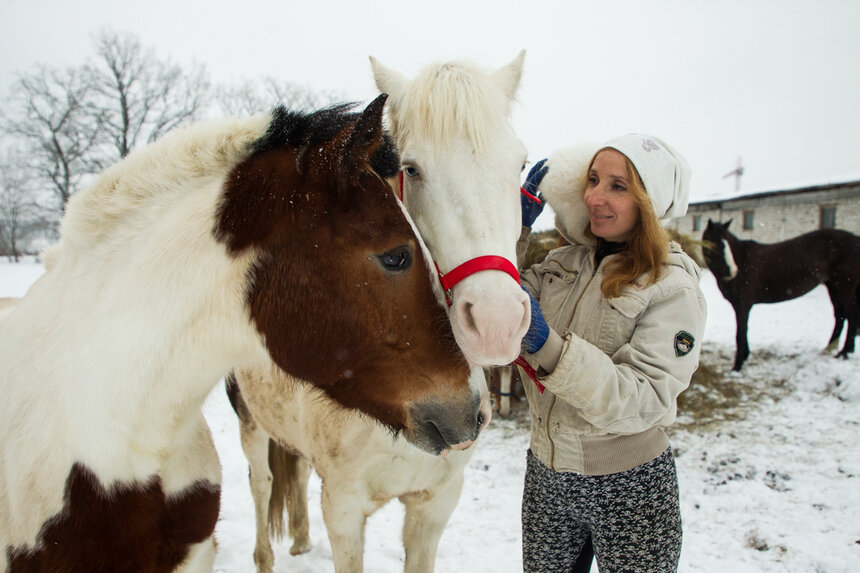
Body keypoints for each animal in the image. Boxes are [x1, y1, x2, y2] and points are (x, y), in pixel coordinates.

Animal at [700, 219, 860, 370]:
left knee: (850, 316)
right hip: (833, 286)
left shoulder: (743, 304)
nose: (732, 272)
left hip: (845, 287)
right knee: (840, 316)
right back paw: (831, 349)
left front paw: (737, 365)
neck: (742, 258)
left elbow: (740, 332)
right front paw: (744, 357)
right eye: (712, 244)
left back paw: (844, 353)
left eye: (726, 243)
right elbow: (743, 331)